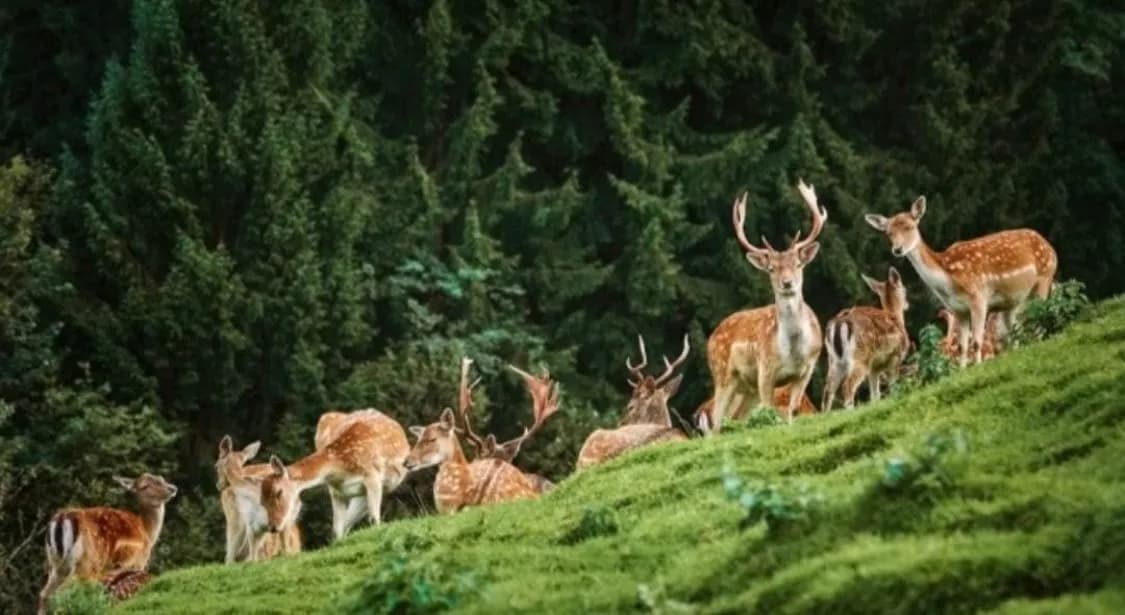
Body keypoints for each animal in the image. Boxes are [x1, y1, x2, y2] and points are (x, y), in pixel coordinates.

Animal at [37, 473, 178, 615]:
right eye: (144, 486)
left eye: (161, 479)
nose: (172, 488)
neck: (147, 533)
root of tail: (61, 520)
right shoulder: (135, 562)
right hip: (87, 562)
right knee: (67, 590)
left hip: (56, 564)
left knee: (45, 593)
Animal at [259, 409, 410, 541]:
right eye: (262, 501)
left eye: (279, 492)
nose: (273, 527)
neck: (340, 466)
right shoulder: (336, 490)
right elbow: (337, 530)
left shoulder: (373, 476)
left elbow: (374, 518)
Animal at [705, 179, 827, 433]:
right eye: (772, 269)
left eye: (798, 264)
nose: (787, 283)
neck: (793, 350)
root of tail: (711, 337)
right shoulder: (765, 370)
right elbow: (770, 412)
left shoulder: (808, 367)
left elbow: (793, 410)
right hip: (723, 375)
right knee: (716, 422)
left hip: (746, 387)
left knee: (737, 418)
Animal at [821, 267, 912, 410]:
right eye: (904, 289)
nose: (907, 304)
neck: (896, 317)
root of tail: (839, 323)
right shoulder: (895, 357)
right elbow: (893, 386)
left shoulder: (875, 368)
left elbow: (875, 395)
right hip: (860, 355)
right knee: (847, 385)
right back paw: (850, 410)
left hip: (834, 360)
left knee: (828, 389)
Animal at [865, 196, 1057, 365]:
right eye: (888, 233)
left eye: (909, 226)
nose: (897, 249)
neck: (949, 281)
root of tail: (1051, 248)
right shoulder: (957, 309)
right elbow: (963, 346)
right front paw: (963, 370)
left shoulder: (979, 298)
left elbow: (976, 342)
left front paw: (978, 367)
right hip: (1013, 303)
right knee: (1015, 332)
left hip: (1044, 279)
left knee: (1038, 320)